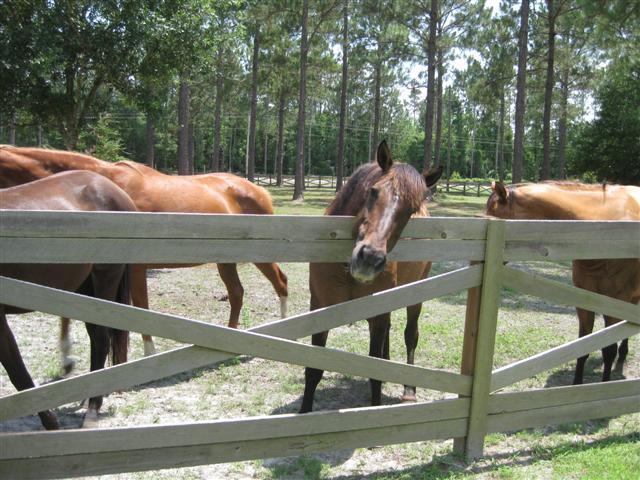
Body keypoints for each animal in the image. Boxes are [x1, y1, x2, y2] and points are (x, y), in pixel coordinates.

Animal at [0, 145, 289, 359]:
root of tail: (257, 189)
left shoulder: (134, 267)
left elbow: (139, 306)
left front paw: (148, 352)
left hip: (259, 255)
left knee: (280, 283)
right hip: (225, 261)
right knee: (237, 293)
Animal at [0, 171, 135, 429]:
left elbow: (16, 371)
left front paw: (51, 423)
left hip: (104, 279)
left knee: (101, 339)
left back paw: (92, 408)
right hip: (85, 288)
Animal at [299, 141, 443, 413]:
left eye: (411, 210)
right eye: (373, 192)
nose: (369, 258)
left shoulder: (379, 311)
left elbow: (375, 371)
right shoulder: (320, 307)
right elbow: (313, 370)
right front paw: (303, 413)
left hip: (414, 296)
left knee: (410, 335)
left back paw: (409, 391)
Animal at [486, 180, 640, 384]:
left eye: (493, 215)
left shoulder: (614, 304)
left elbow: (608, 351)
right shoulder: (585, 301)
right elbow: (583, 346)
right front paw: (576, 385)